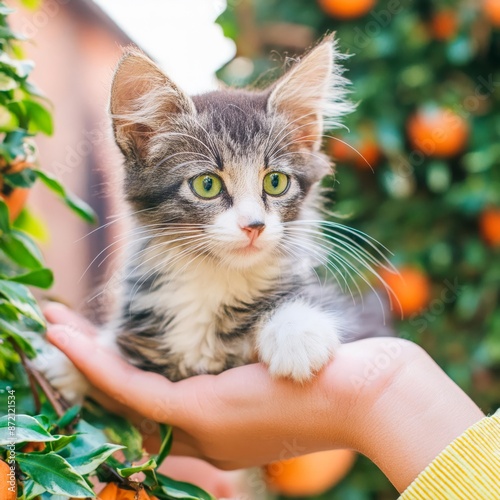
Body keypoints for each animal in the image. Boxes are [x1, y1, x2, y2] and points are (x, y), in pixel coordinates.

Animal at [38, 34, 390, 402]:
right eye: (207, 185)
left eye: (275, 182)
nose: (254, 225)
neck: (215, 277)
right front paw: (68, 367)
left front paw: (298, 333)